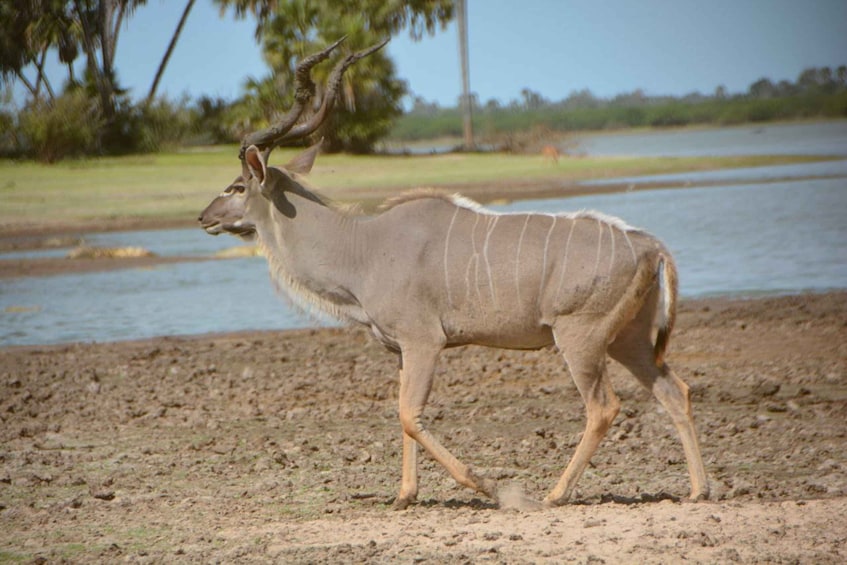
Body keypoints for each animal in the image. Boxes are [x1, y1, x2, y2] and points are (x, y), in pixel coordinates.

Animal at [197, 38, 708, 506]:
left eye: (238, 185)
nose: (204, 217)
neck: (363, 247)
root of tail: (648, 244)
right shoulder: (402, 350)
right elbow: (401, 413)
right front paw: (405, 495)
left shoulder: (425, 342)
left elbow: (410, 415)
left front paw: (489, 487)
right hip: (627, 339)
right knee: (675, 391)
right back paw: (700, 490)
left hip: (579, 338)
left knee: (604, 407)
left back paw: (553, 494)